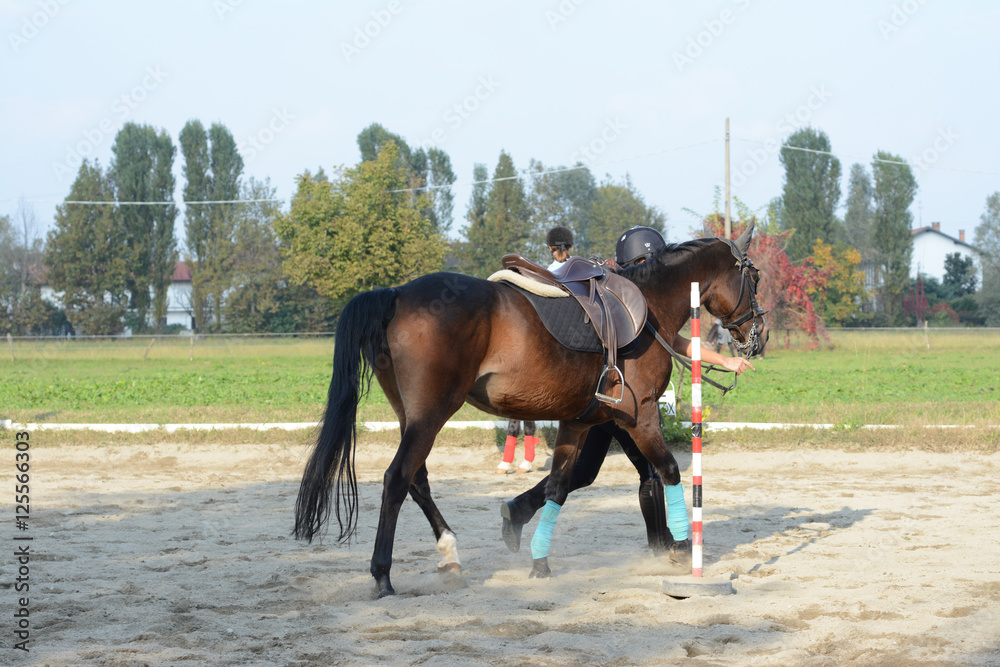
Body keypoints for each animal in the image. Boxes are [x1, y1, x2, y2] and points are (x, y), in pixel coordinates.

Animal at [294, 222, 764, 596]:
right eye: (755, 277)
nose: (759, 336)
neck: (648, 307)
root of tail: (396, 294)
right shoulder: (642, 415)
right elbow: (668, 470)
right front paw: (683, 547)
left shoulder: (579, 421)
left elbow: (557, 486)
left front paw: (539, 561)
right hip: (431, 414)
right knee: (397, 479)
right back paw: (383, 575)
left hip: (411, 415)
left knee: (418, 480)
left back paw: (450, 555)